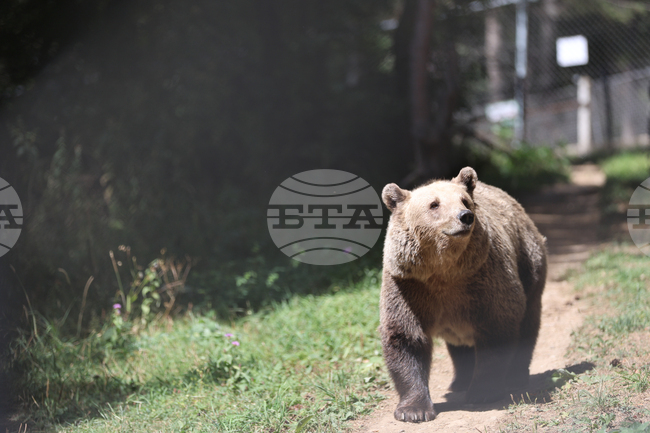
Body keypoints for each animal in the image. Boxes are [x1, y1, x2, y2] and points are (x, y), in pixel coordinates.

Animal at [379, 166, 547, 423]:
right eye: (434, 204)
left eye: (464, 200)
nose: (465, 216)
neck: (444, 270)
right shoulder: (408, 286)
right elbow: (406, 336)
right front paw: (413, 410)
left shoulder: (485, 279)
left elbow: (496, 328)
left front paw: (482, 392)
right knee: (458, 345)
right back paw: (459, 381)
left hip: (530, 266)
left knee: (528, 326)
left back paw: (516, 377)